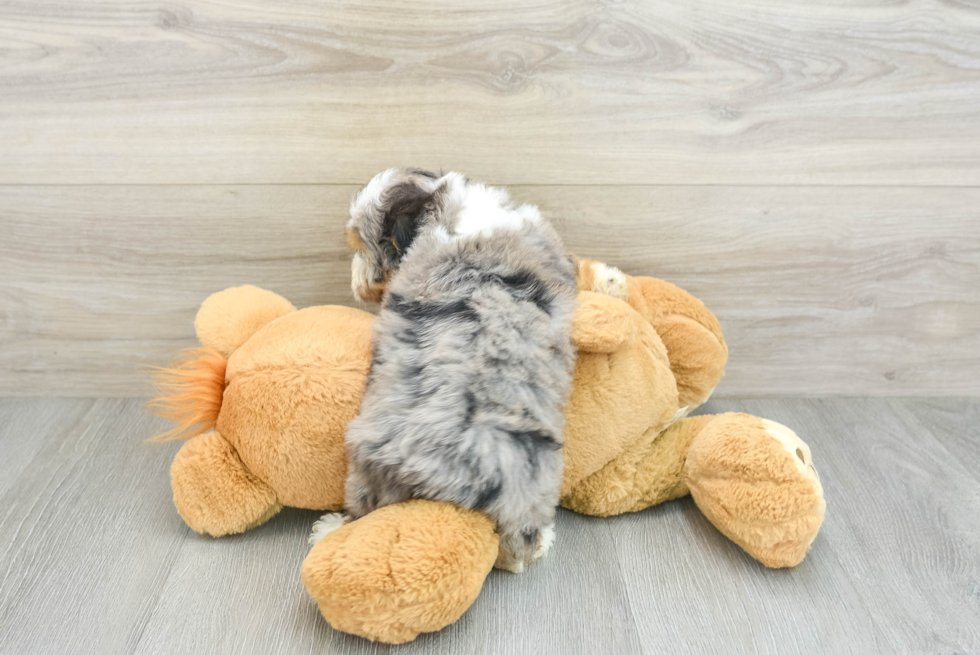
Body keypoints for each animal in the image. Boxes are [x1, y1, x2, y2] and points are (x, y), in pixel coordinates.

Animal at [312, 169, 576, 576]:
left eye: (362, 246)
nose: (357, 285)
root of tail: (471, 466)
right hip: (535, 485)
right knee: (520, 543)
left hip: (365, 465)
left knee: (362, 508)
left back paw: (328, 529)